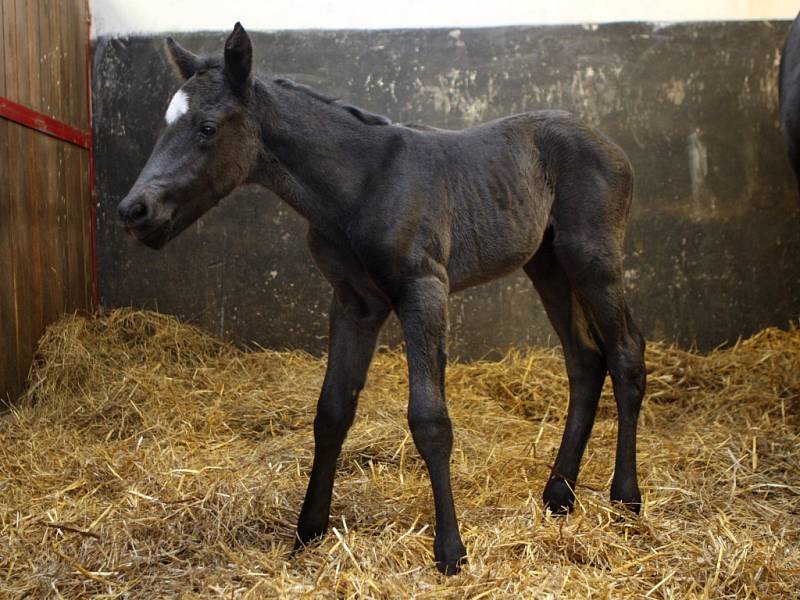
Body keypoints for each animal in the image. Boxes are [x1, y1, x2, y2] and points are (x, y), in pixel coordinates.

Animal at [115, 24, 648, 576]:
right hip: (546, 263)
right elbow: (332, 411)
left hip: (591, 257)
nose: (134, 210)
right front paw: (308, 531)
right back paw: (559, 496)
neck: (361, 185)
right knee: (584, 360)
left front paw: (450, 550)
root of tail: (610, 145)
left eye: (207, 128)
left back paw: (625, 497)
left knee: (626, 352)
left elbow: (430, 420)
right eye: (165, 124)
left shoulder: (423, 289)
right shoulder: (355, 302)